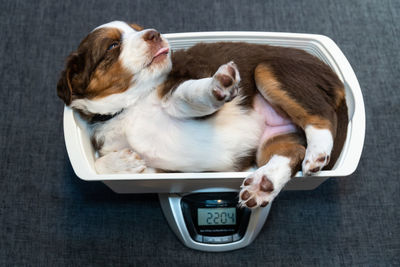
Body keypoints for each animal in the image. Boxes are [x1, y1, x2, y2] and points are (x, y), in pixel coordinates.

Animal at [56, 21, 346, 209]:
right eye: (113, 46)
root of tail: (339, 80)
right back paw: (263, 184)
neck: (130, 106)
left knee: (321, 117)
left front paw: (218, 86)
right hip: (272, 141)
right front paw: (124, 163)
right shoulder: (159, 169)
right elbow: (99, 163)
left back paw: (317, 153)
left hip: (270, 70)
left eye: (138, 29)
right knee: (290, 152)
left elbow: (185, 96)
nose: (155, 34)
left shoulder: (177, 86)